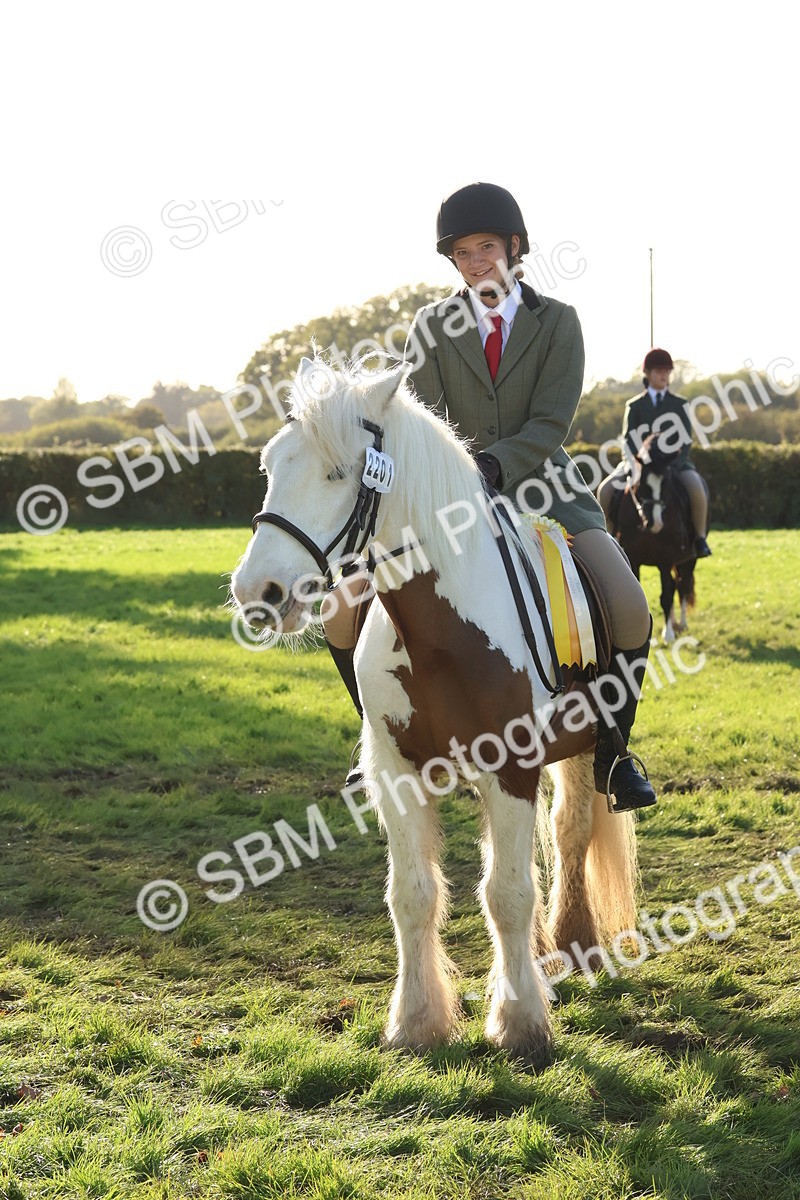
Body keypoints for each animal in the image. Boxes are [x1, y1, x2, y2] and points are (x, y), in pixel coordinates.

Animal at [230, 358, 639, 1064]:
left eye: (338, 473)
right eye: (271, 465)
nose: (259, 592)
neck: (440, 629)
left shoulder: (513, 767)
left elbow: (507, 893)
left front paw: (521, 1023)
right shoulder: (397, 773)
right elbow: (413, 896)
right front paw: (417, 1021)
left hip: (588, 744)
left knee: (572, 832)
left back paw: (572, 945)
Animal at [613, 452, 702, 643]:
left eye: (666, 483)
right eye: (641, 484)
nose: (655, 523)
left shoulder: (665, 561)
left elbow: (667, 596)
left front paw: (668, 635)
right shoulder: (634, 560)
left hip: (689, 560)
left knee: (682, 587)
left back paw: (681, 624)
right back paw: (674, 623)